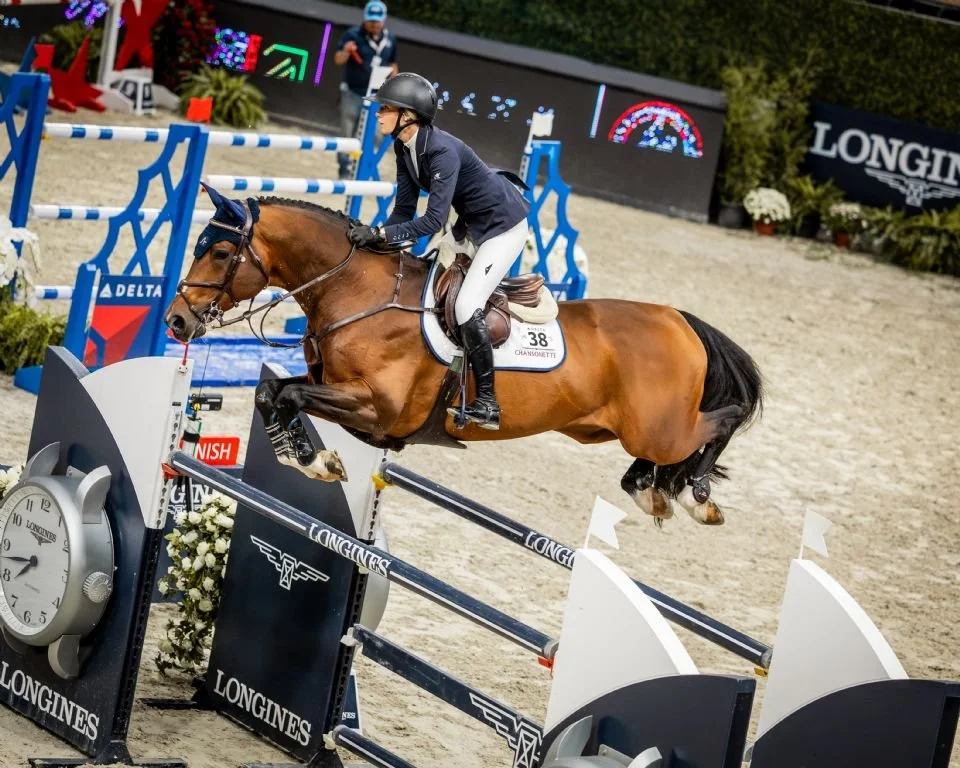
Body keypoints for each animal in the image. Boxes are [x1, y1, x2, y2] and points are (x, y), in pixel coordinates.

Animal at [163, 187, 763, 527]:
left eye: (221, 251)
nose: (176, 321)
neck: (355, 292)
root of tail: (680, 321)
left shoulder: (376, 409)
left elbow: (284, 393)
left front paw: (312, 460)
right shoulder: (338, 395)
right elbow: (274, 391)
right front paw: (307, 457)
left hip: (659, 428)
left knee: (723, 421)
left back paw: (696, 496)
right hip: (617, 429)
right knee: (666, 452)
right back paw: (651, 489)